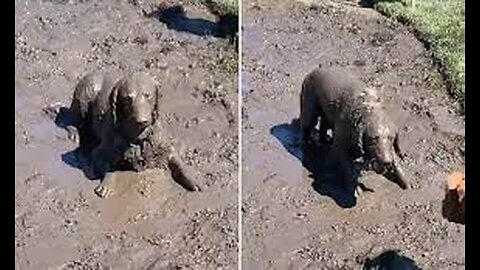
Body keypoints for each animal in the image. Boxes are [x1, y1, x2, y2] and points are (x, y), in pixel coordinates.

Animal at [69, 71, 201, 198]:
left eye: (147, 95)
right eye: (128, 98)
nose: (142, 120)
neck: (139, 137)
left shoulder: (166, 147)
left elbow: (180, 163)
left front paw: (193, 178)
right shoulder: (99, 152)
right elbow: (109, 168)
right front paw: (106, 185)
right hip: (85, 96)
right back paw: (74, 132)